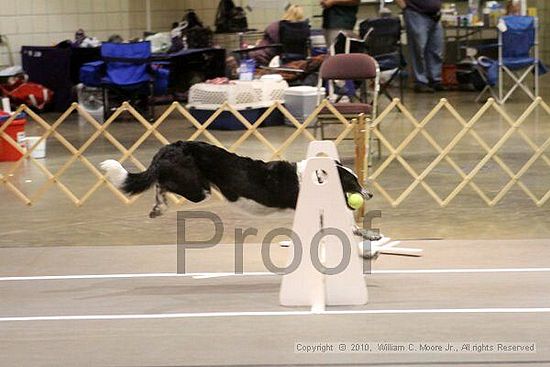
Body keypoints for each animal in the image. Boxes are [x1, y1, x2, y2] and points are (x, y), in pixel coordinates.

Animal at [99, 140, 376, 221]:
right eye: (352, 184)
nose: (369, 195)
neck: (318, 179)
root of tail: (171, 147)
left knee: (160, 183)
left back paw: (157, 208)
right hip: (198, 189)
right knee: (162, 183)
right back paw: (159, 206)